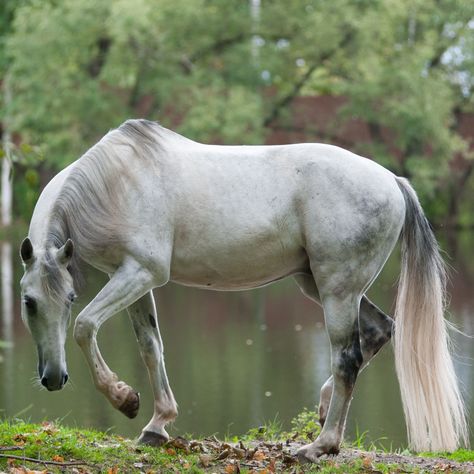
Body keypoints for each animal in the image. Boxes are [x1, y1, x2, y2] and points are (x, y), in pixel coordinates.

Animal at [19, 120, 466, 462]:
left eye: (68, 299)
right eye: (29, 303)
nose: (53, 377)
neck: (115, 182)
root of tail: (392, 180)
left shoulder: (140, 273)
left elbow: (84, 326)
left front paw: (123, 398)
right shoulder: (131, 277)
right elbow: (150, 347)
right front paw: (156, 425)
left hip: (337, 292)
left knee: (348, 358)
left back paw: (319, 447)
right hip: (323, 286)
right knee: (378, 331)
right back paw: (323, 412)